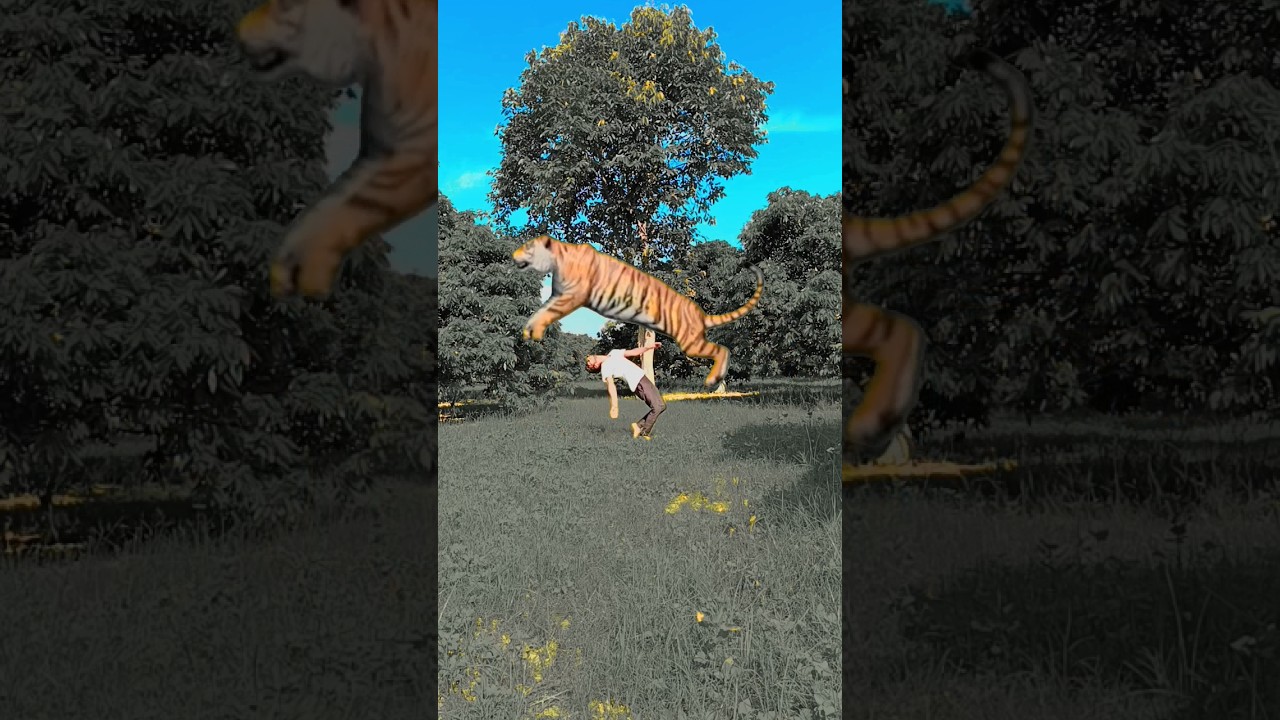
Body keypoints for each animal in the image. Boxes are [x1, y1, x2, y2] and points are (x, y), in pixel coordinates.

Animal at [236, 0, 438, 299]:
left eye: (284, 5)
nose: (238, 31)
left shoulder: (415, 149)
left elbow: (353, 204)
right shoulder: (381, 150)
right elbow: (331, 203)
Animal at [512, 236, 764, 387]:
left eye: (527, 247)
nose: (513, 256)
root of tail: (701, 314)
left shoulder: (571, 295)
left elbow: (547, 312)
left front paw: (534, 330)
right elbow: (541, 310)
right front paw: (528, 330)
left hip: (691, 343)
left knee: (722, 349)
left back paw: (713, 379)